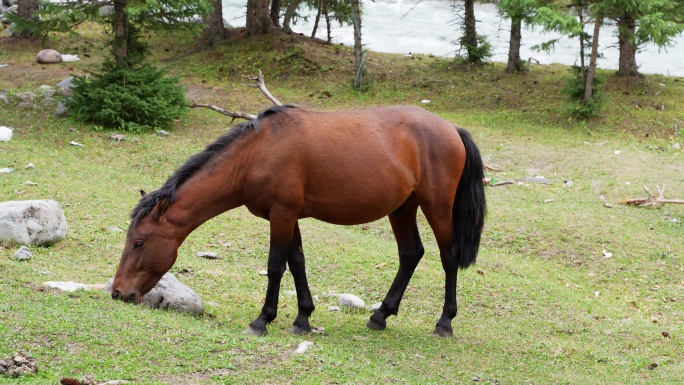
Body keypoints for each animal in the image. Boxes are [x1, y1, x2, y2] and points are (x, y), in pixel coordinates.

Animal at [111, 105, 486, 336]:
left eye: (139, 242)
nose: (118, 292)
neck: (257, 154)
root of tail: (451, 129)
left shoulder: (282, 215)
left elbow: (276, 265)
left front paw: (262, 320)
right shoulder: (287, 216)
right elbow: (297, 263)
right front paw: (303, 317)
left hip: (436, 206)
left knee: (448, 257)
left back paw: (444, 323)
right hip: (403, 208)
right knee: (410, 254)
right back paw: (380, 315)